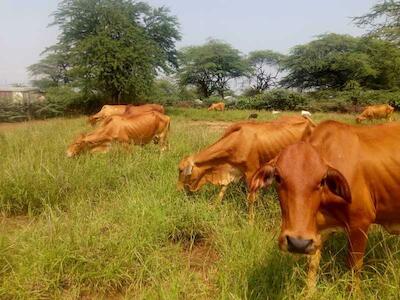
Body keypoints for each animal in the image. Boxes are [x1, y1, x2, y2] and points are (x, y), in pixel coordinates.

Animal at [177, 115, 316, 220]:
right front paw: (213, 207)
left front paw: (250, 221)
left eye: (181, 170)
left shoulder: (251, 172)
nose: (178, 189)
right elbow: (222, 190)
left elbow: (250, 199)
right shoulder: (234, 170)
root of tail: (308, 120)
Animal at [248, 120, 400, 290]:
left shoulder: (360, 223)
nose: (297, 243)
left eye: (322, 180)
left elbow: (354, 268)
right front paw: (309, 292)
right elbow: (312, 265)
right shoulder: (315, 232)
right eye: (278, 178)